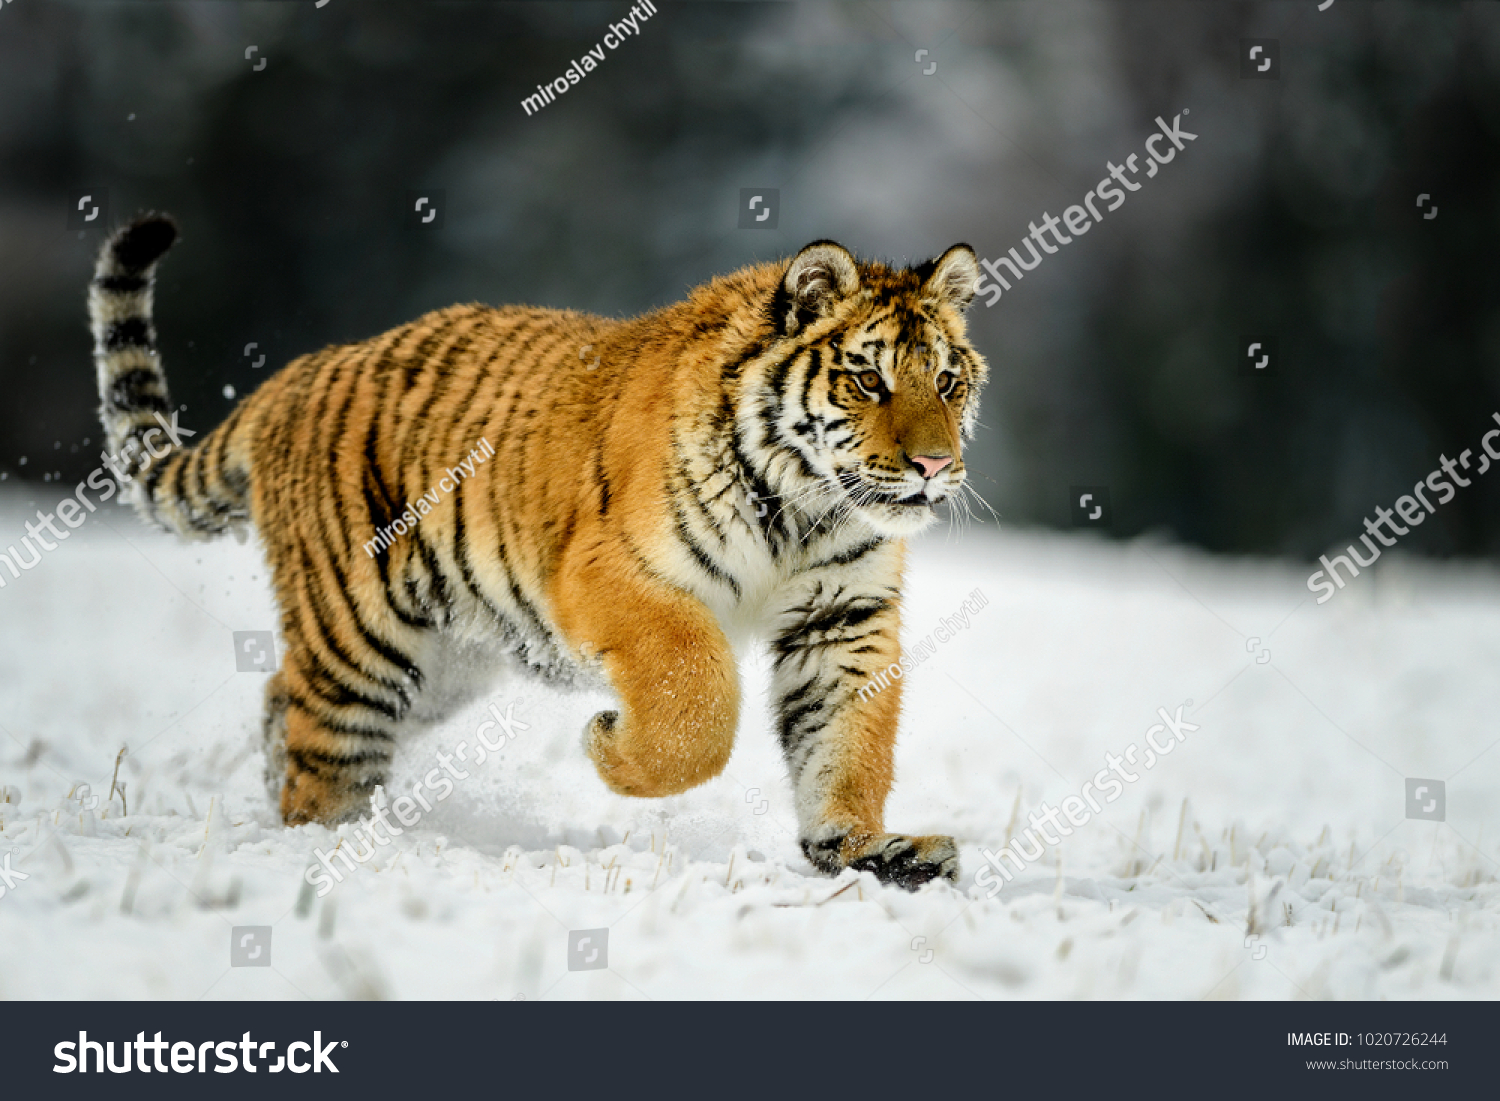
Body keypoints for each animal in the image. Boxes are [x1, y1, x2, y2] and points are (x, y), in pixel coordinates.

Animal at [89, 213, 987, 890]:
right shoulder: (612, 571)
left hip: (442, 659)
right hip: (360, 638)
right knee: (324, 750)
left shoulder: (843, 617)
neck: (806, 508)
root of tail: (297, 373)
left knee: (281, 698)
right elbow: (696, 693)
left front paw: (863, 850)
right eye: (868, 381)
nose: (934, 464)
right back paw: (325, 842)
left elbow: (848, 740)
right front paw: (611, 748)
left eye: (946, 382)